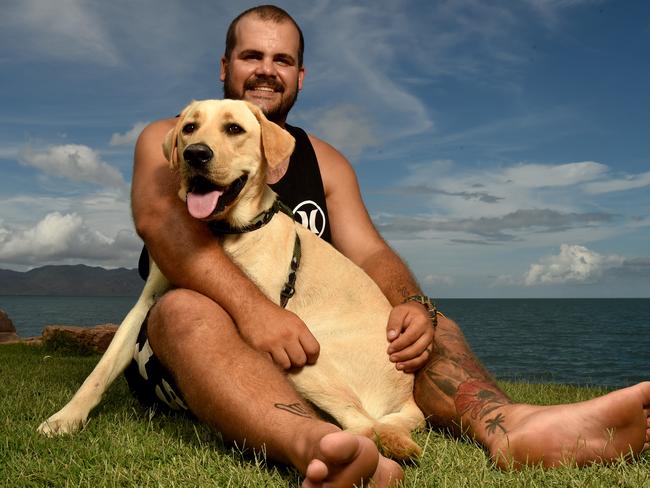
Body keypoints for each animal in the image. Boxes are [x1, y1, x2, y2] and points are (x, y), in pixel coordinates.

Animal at [40, 100, 426, 462]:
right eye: (189, 127)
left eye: (234, 129)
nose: (196, 154)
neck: (225, 232)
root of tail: (409, 397)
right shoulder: (143, 305)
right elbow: (100, 370)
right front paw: (66, 418)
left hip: (309, 359)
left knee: (363, 424)